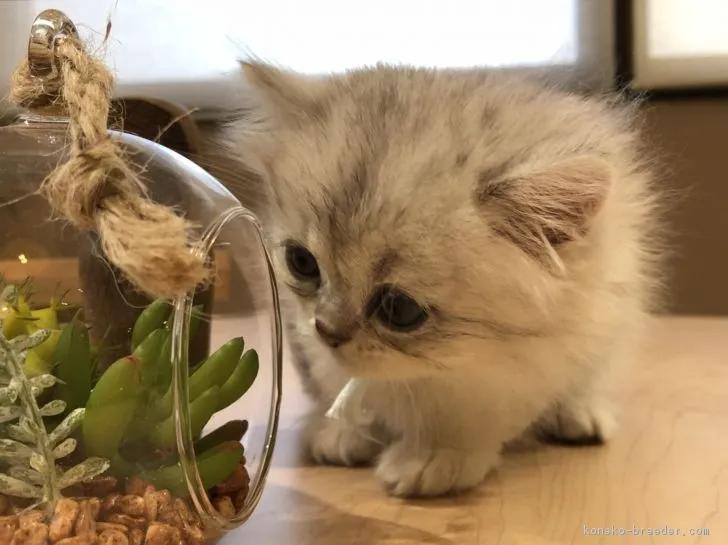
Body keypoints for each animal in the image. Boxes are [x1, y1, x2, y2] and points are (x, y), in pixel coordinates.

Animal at [208, 62, 664, 498]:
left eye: (400, 309)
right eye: (302, 262)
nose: (328, 331)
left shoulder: (519, 367)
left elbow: (460, 415)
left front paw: (436, 456)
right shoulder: (304, 337)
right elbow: (336, 383)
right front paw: (344, 429)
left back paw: (579, 413)